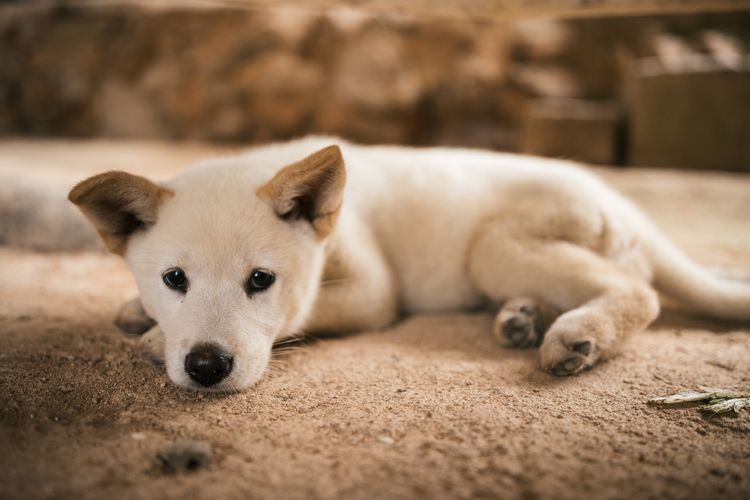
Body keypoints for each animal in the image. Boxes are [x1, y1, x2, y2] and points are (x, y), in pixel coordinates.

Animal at [70, 137, 750, 390]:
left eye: (261, 281)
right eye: (174, 280)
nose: (206, 368)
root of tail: (629, 206)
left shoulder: (375, 291)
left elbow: (304, 315)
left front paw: (152, 339)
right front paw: (139, 313)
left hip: (493, 248)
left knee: (641, 290)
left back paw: (578, 334)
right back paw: (522, 317)